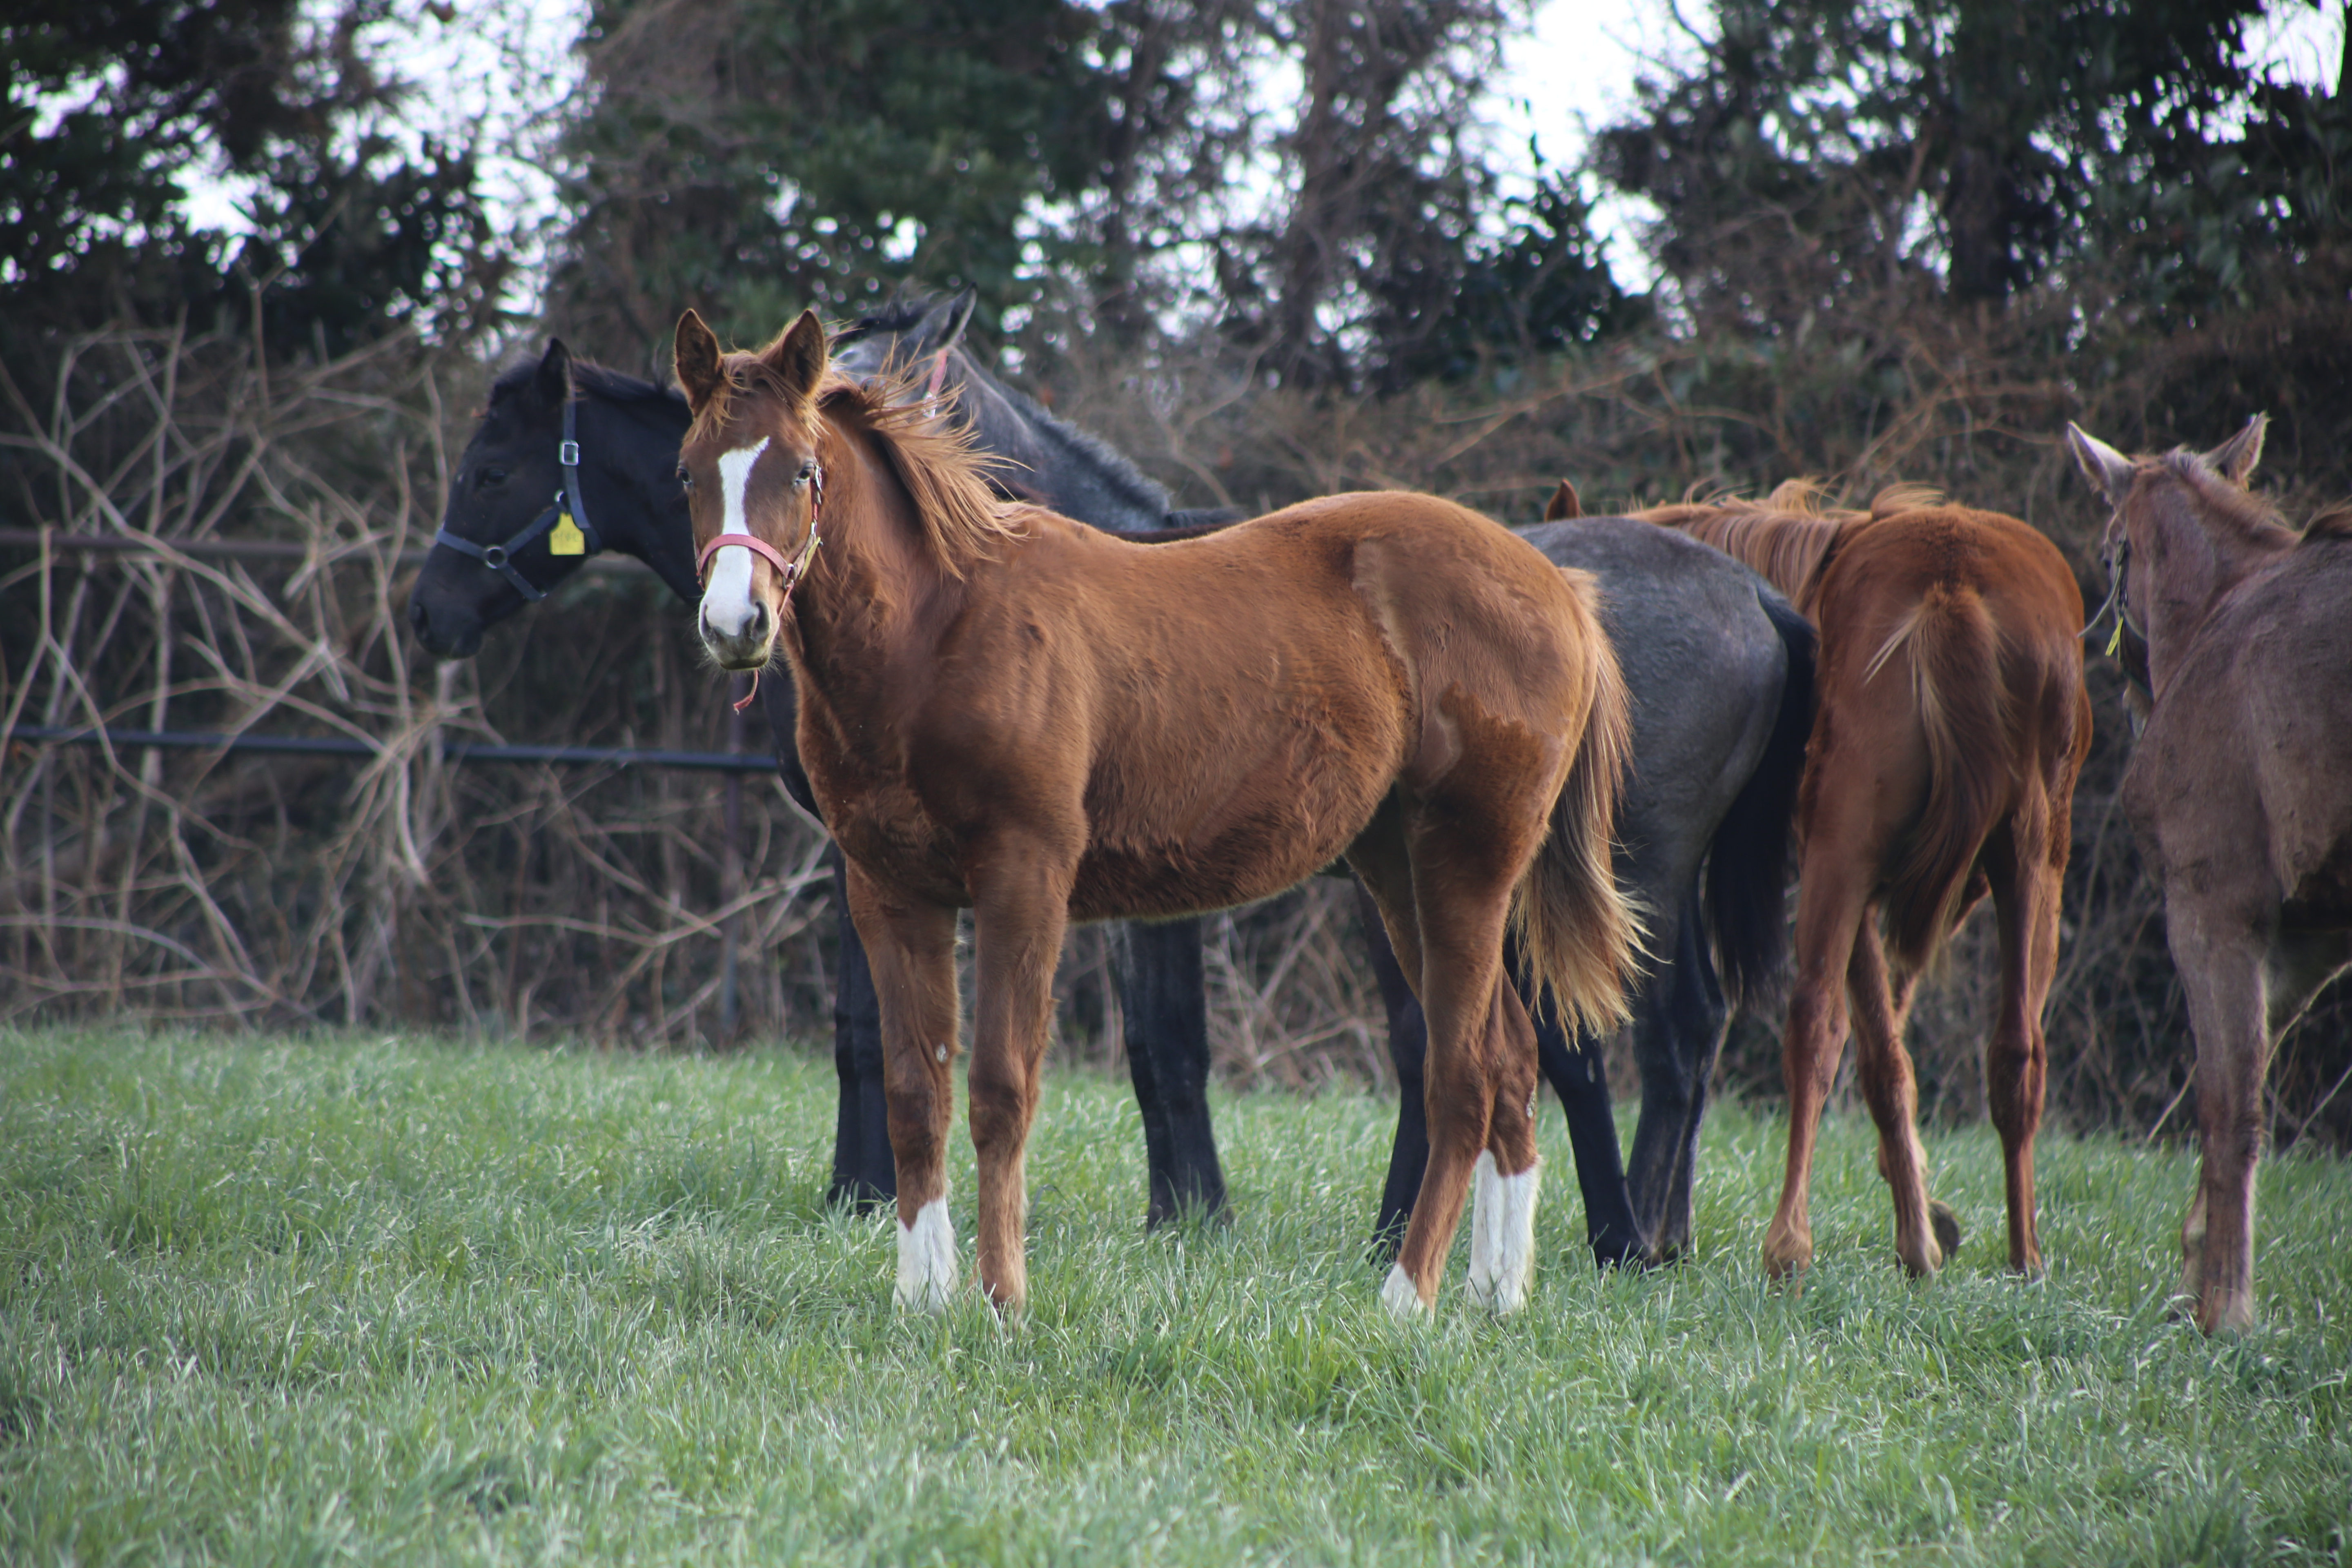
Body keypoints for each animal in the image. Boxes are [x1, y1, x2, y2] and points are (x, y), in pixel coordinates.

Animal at [673, 312, 1646, 1316]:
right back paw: (1494, 1296)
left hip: (1471, 862)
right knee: (1510, 1060)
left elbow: (1000, 1089)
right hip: (1397, 870)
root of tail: (1557, 585)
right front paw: (922, 1299)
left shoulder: (1024, 876)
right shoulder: (890, 890)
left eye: (801, 471)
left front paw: (1001, 1301)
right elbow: (916, 1092)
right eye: (689, 472)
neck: (939, 630)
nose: (736, 625)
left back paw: (1406, 1303)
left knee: (1460, 1073)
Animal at [1637, 491, 2098, 1288]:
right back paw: (2012, 1256)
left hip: (1873, 855)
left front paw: (1920, 1219)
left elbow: (1882, 1048)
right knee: (2003, 1048)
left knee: (1854, 1028)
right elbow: (1885, 1047)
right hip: (2016, 861)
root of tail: (1953, 586)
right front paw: (1923, 1227)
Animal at [2069, 421, 2342, 1335]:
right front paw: (2201, 1268)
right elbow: (2241, 1083)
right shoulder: (2308, 938)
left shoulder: (2212, 906)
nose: (2127, 686)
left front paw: (2223, 1304)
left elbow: (2230, 1106)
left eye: (2110, 550)